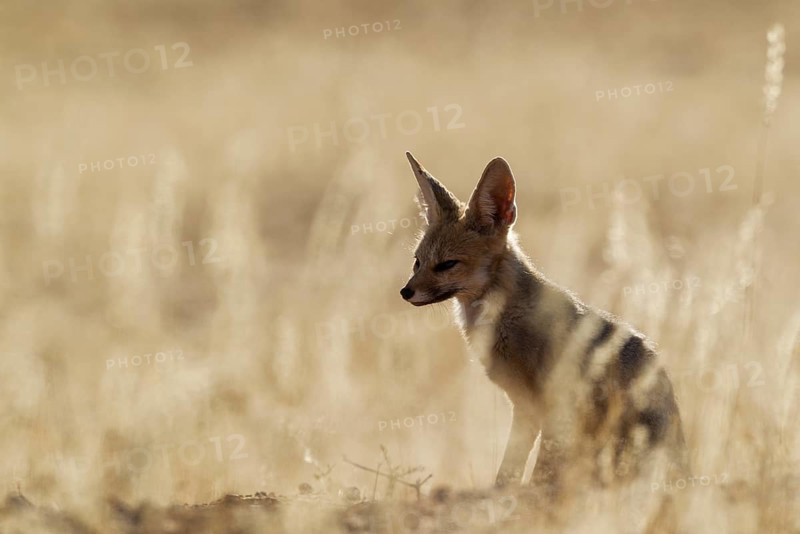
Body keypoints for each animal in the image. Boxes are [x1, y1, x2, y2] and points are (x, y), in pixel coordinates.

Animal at [400, 152, 688, 495]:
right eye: (417, 262)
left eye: (446, 265)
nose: (405, 292)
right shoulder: (523, 405)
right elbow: (510, 468)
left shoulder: (550, 405)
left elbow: (537, 470)